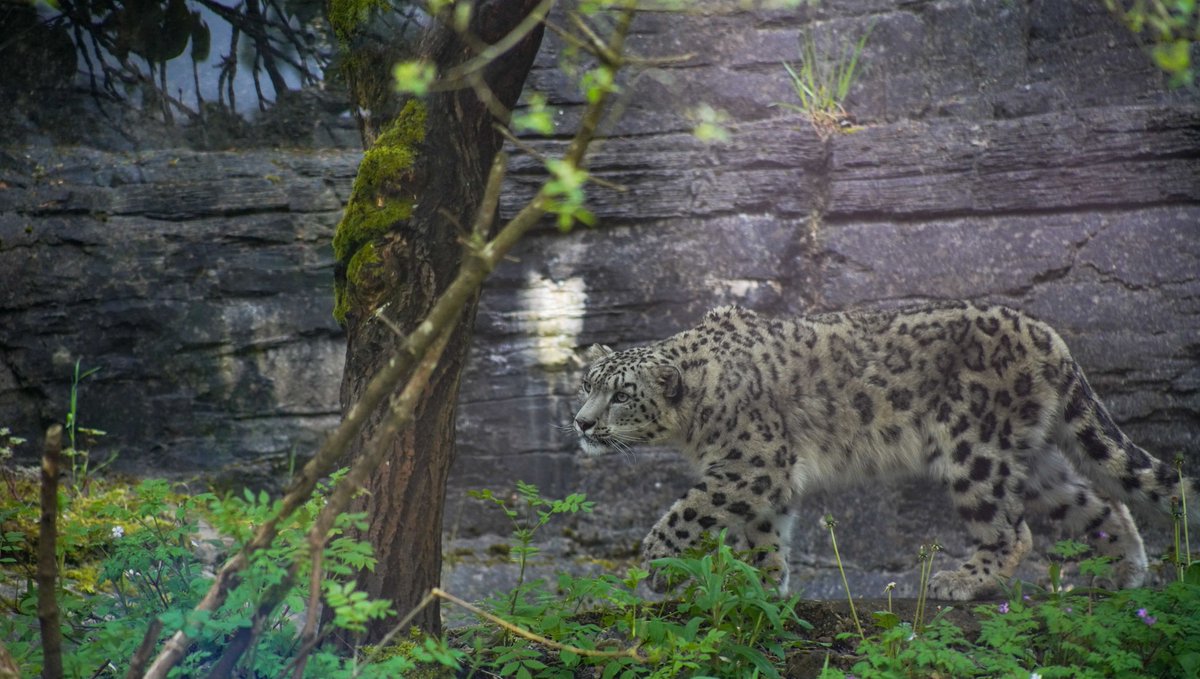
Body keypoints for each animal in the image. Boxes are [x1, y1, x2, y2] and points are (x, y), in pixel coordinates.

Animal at [576, 303, 1195, 602]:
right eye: (587, 384)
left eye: (623, 395)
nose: (580, 422)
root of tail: (1049, 338)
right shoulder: (766, 481)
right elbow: (764, 536)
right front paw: (762, 588)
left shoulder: (751, 466)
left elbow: (686, 513)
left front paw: (657, 566)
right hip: (1035, 458)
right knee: (1100, 503)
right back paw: (1123, 574)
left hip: (974, 451)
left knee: (1011, 528)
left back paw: (959, 581)